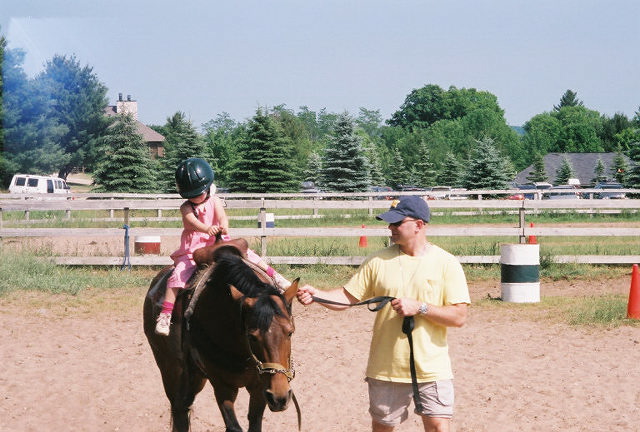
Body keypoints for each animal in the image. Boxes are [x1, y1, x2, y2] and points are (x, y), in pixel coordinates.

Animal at [144, 240, 298, 432]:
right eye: (252, 336)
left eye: (290, 332)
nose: (280, 397)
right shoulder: (222, 386)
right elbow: (233, 426)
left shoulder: (259, 386)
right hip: (170, 368)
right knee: (179, 409)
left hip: (195, 376)